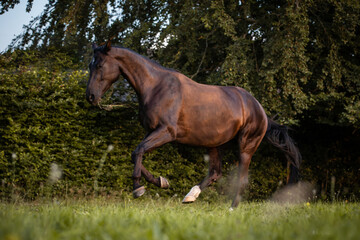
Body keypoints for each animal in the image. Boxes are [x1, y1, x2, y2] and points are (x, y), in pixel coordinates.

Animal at [85, 40, 300, 207]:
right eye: (90, 65)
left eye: (100, 65)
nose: (91, 97)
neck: (156, 87)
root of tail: (259, 109)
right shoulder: (152, 131)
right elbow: (135, 153)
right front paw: (162, 181)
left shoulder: (166, 132)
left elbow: (138, 151)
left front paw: (138, 188)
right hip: (214, 144)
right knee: (215, 173)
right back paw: (190, 196)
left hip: (246, 146)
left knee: (242, 178)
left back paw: (232, 208)